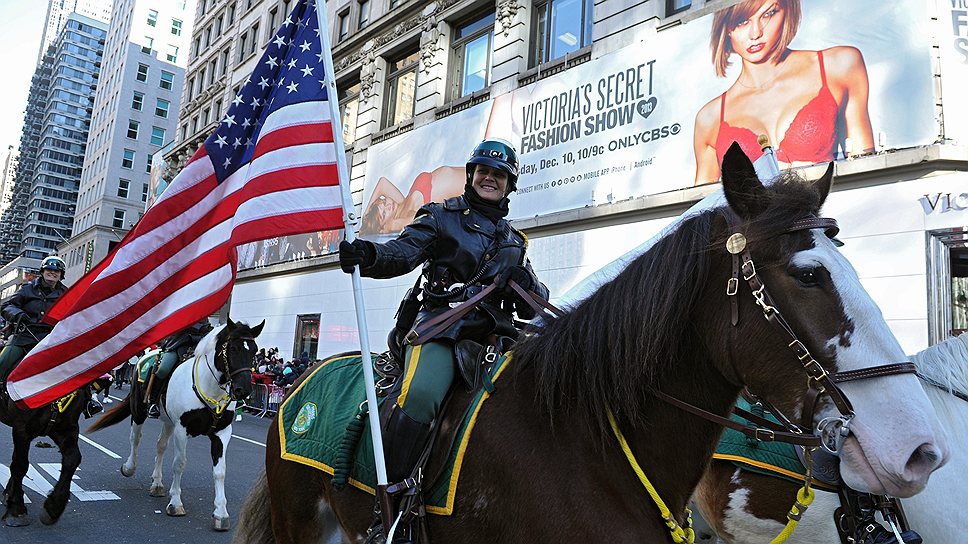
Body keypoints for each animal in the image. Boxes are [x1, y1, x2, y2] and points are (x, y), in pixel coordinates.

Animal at [86, 318, 260, 532]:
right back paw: (129, 467)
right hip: (139, 410)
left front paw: (220, 513)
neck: (209, 387)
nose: (243, 390)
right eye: (233, 348)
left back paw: (157, 484)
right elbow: (180, 463)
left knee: (160, 446)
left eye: (254, 350)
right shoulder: (182, 429)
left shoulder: (222, 433)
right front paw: (176, 503)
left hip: (168, 422)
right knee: (135, 439)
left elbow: (220, 472)